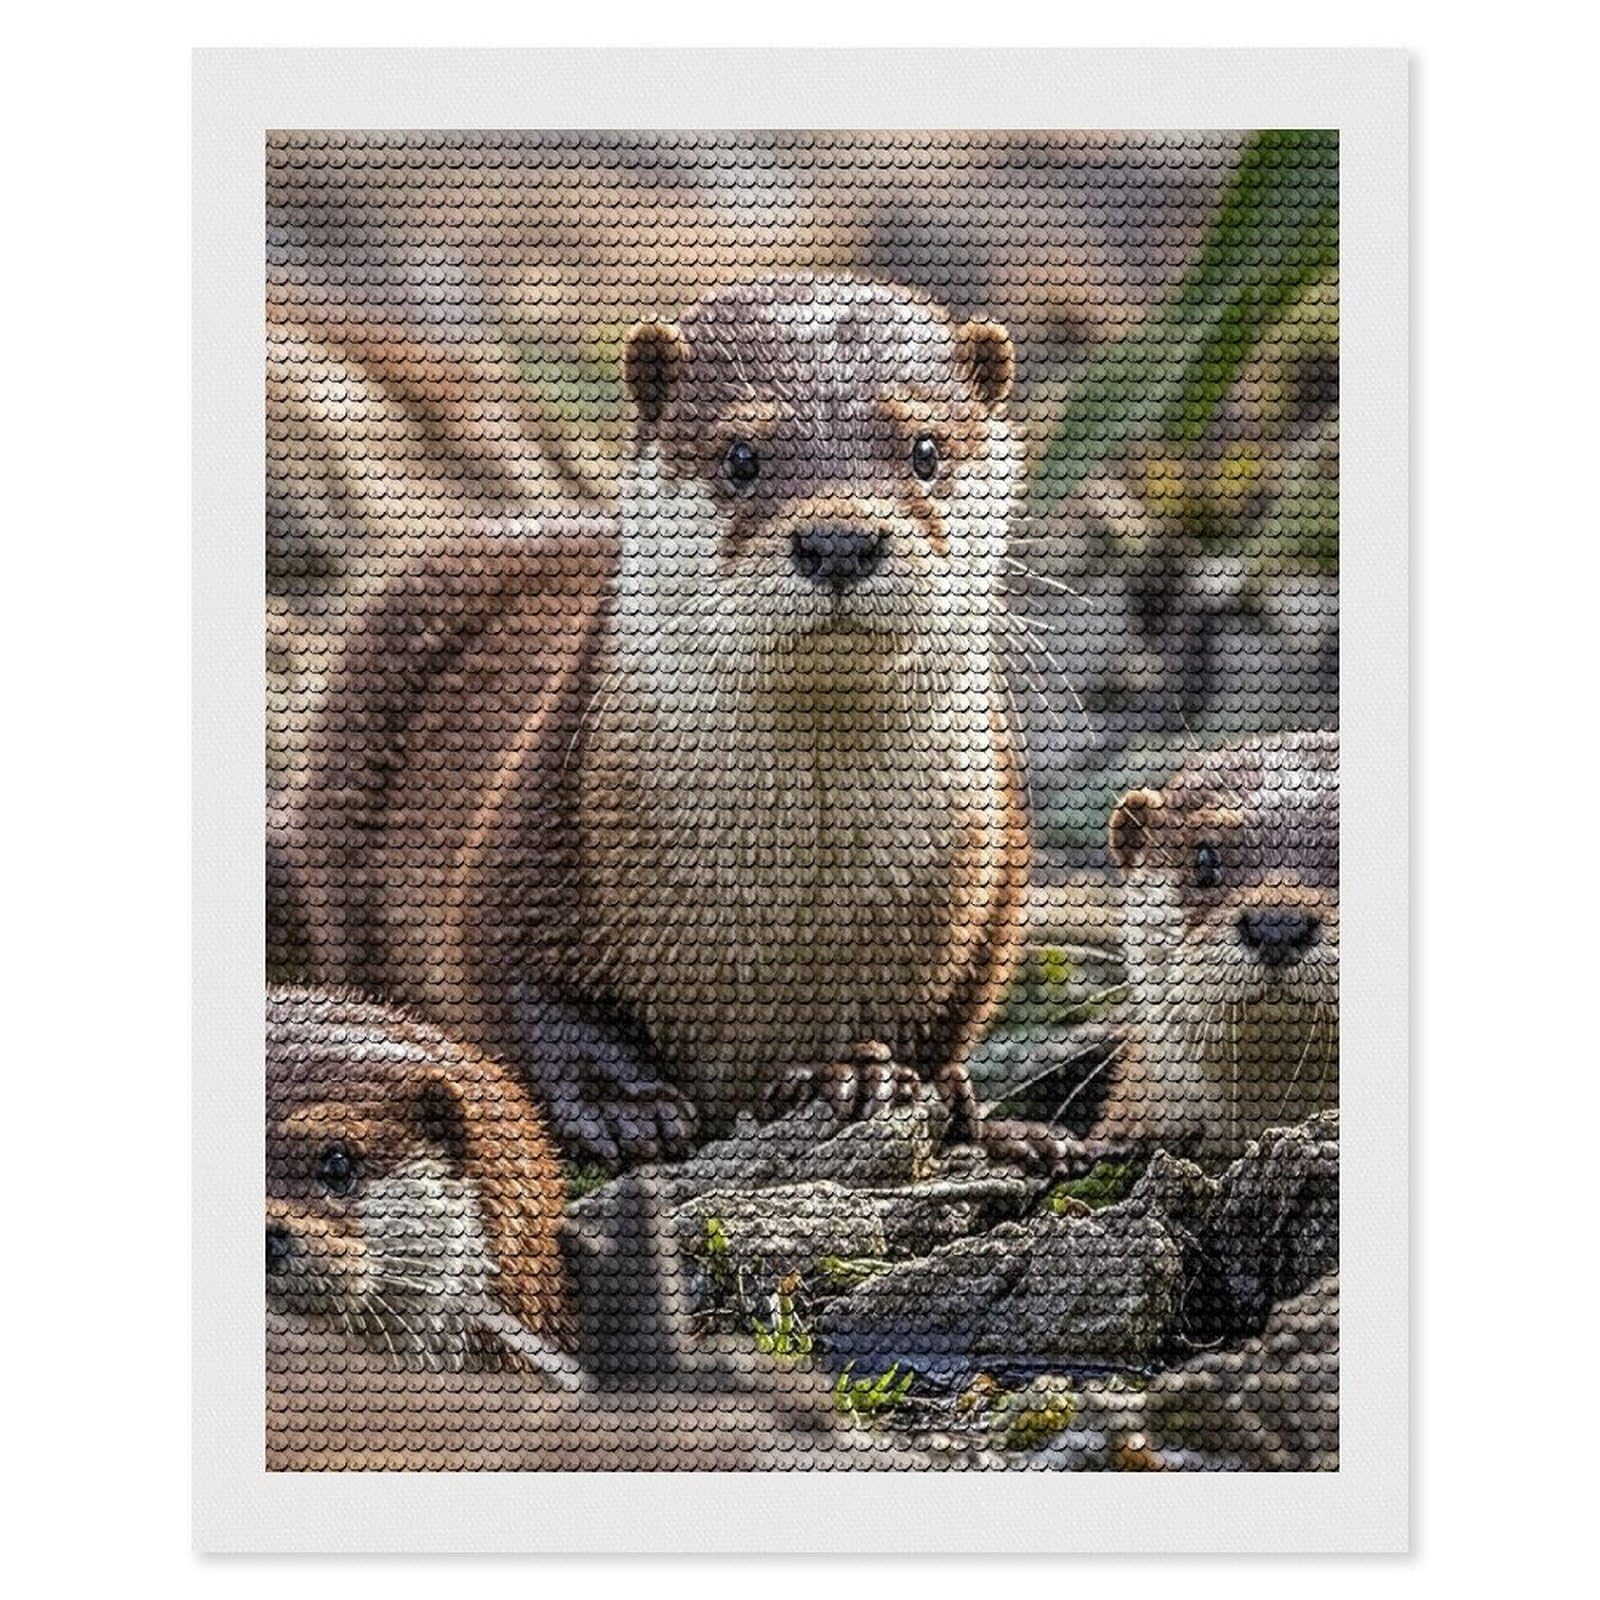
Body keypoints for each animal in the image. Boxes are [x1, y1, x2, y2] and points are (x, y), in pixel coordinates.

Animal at [281, 275, 1037, 1168]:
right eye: (741, 455)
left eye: (925, 449)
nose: (838, 540)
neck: (792, 896)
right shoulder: (538, 822)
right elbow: (513, 981)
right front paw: (621, 1105)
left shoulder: (988, 883)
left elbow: (940, 1027)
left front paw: (864, 1073)